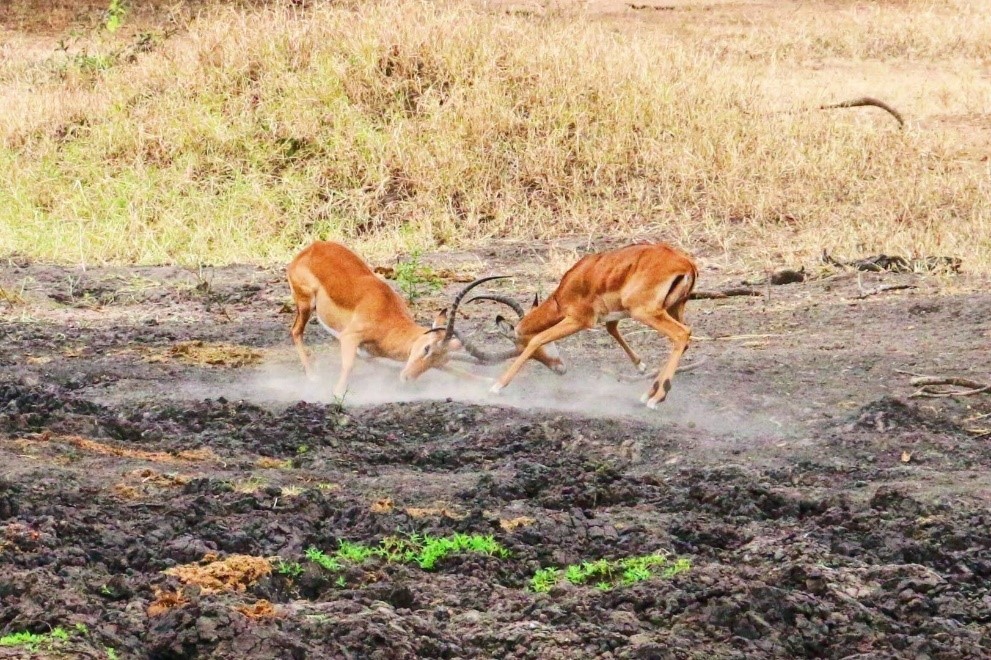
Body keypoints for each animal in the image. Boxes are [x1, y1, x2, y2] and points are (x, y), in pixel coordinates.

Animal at [286, 242, 504, 398]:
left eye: (437, 361)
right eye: (426, 348)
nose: (407, 378)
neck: (388, 321)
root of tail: (309, 249)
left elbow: (456, 370)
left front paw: (486, 381)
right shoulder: (350, 336)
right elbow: (348, 365)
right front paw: (337, 393)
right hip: (306, 304)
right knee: (296, 331)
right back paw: (312, 376)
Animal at [462, 242, 700, 408]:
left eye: (519, 346)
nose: (560, 369)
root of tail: (686, 264)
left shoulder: (577, 320)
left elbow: (539, 337)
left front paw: (496, 386)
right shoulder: (607, 314)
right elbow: (611, 328)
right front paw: (640, 365)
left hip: (646, 312)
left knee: (682, 334)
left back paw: (656, 398)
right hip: (673, 308)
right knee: (684, 340)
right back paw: (649, 393)